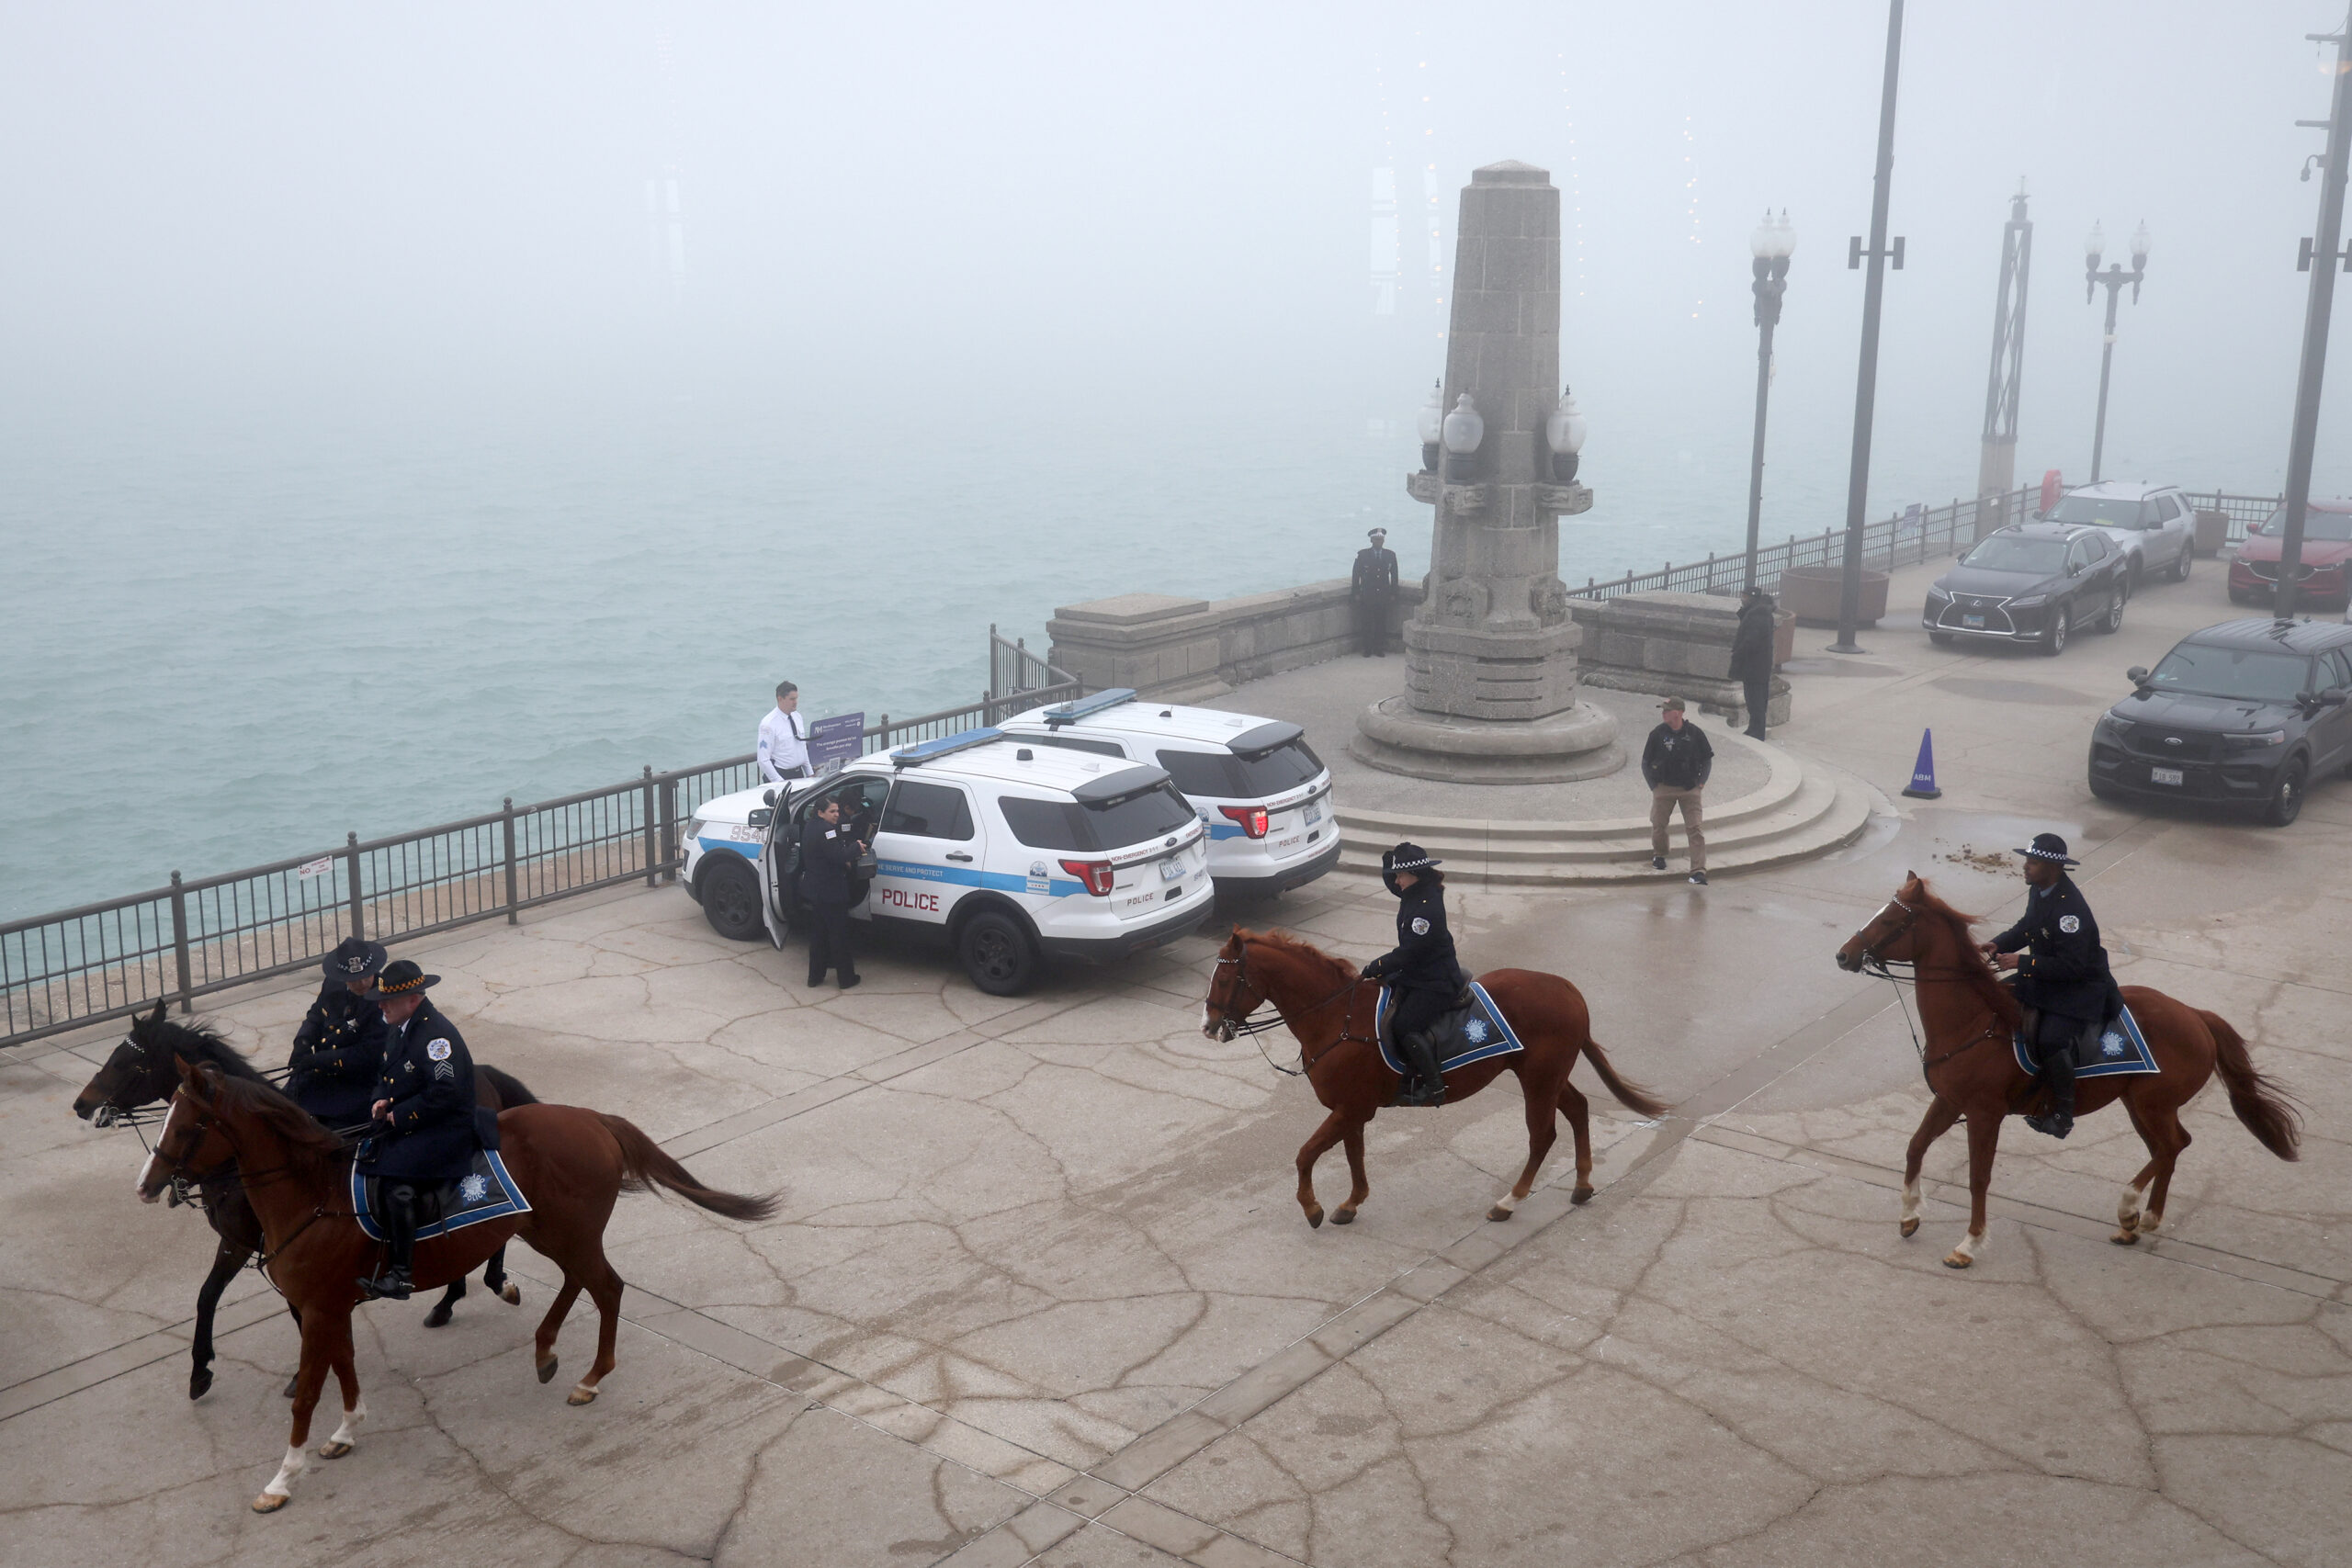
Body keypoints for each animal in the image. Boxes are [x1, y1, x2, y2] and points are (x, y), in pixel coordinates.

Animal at [75, 1006, 536, 1401]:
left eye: (125, 1063)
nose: (82, 1104)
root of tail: (484, 1074)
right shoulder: (241, 1242)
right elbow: (207, 1296)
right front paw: (200, 1372)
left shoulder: (261, 1242)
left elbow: (289, 1304)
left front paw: (305, 1371)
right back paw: (450, 1298)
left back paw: (492, 1284)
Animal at [141, 1062, 775, 1514]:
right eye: (166, 1118)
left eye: (190, 1125)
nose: (148, 1185)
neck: (313, 1193)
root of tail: (592, 1118)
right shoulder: (332, 1307)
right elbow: (344, 1367)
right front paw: (346, 1429)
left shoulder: (319, 1308)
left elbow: (308, 1394)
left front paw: (282, 1478)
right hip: (548, 1232)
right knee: (580, 1282)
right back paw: (545, 1350)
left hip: (568, 1234)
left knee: (609, 1289)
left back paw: (590, 1377)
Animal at [1204, 926, 1665, 1232]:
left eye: (1225, 979)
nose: (1209, 1027)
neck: (1337, 1016)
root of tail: (1567, 988)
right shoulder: (1351, 1111)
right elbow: (1353, 1155)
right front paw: (1351, 1203)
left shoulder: (1350, 1108)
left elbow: (1305, 1155)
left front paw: (1312, 1208)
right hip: (1546, 1076)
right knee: (1578, 1109)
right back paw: (1583, 1183)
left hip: (1538, 1079)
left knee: (1542, 1136)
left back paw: (1509, 1202)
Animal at [1834, 879, 2295, 1269]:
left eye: (1890, 921)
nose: (1843, 955)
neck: (1973, 1021)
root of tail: (2195, 1015)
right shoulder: (1949, 1102)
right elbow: (1915, 1147)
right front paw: (1909, 1215)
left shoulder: (1984, 1115)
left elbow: (1978, 1178)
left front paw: (1969, 1243)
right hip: (2138, 1105)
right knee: (2169, 1148)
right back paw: (2137, 1222)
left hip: (2153, 1104)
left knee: (2170, 1147)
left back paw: (2133, 1210)